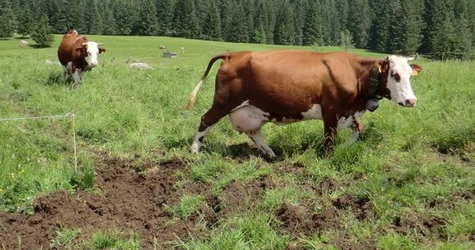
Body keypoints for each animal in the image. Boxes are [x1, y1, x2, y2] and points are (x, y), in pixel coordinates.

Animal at [186, 50, 424, 158]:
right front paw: (328, 156)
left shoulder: (348, 112)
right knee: (205, 119)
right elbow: (329, 137)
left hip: (253, 110)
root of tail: (233, 53)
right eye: (394, 75)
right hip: (224, 102)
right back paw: (195, 150)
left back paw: (270, 154)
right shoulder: (331, 110)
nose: (411, 101)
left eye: (410, 75)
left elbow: (359, 130)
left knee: (254, 132)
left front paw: (344, 148)